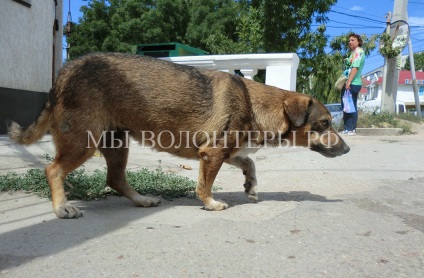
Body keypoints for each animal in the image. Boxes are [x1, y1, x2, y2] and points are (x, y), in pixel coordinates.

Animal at [8, 51, 350, 217]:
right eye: (324, 124)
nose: (347, 150)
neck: (254, 103)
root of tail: (62, 74)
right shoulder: (212, 154)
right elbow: (205, 184)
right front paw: (210, 204)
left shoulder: (224, 150)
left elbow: (249, 162)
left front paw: (251, 186)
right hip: (83, 142)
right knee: (52, 169)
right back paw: (61, 207)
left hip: (117, 144)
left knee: (115, 179)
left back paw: (142, 199)